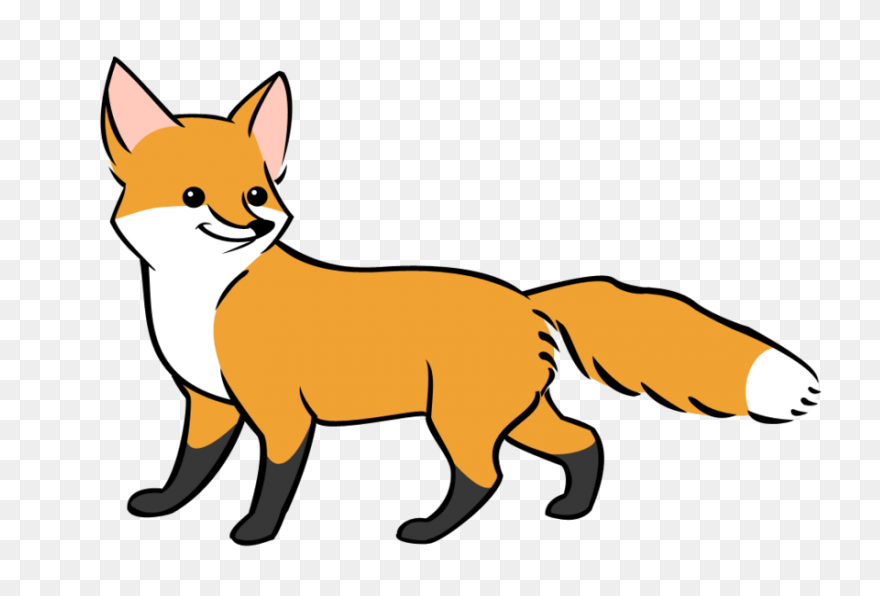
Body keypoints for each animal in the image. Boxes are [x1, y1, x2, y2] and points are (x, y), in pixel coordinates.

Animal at [101, 58, 820, 545]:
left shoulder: (279, 414)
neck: (202, 299)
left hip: (459, 419)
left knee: (486, 477)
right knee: (583, 441)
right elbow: (190, 469)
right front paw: (163, 507)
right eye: (194, 195)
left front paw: (254, 534)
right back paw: (572, 512)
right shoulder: (210, 404)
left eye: (255, 192)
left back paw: (427, 531)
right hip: (514, 413)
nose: (252, 225)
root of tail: (525, 300)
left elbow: (271, 482)